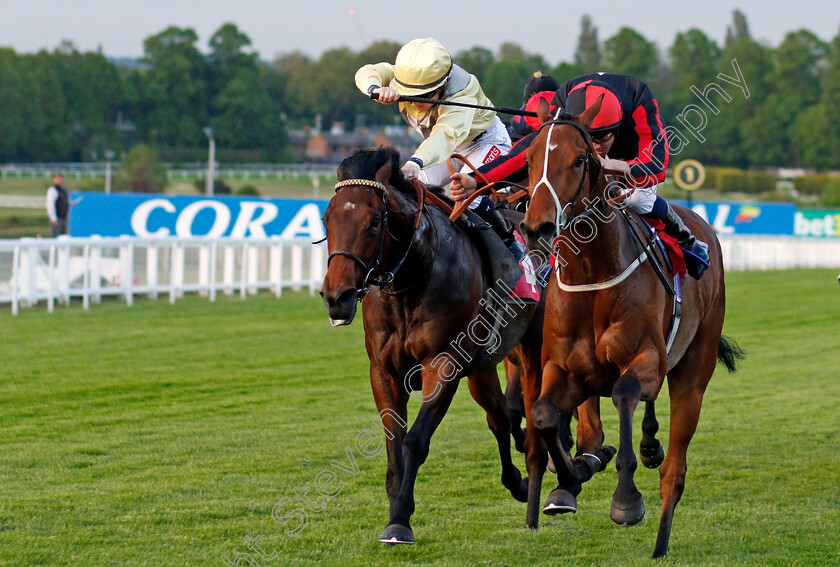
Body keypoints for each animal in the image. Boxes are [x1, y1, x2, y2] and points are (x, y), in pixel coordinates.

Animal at [322, 149, 552, 548]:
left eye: (374, 221)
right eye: (326, 218)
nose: (337, 297)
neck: (416, 273)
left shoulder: (443, 364)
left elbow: (415, 441)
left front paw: (399, 520)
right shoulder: (383, 371)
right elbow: (394, 443)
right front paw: (396, 505)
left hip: (530, 348)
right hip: (481, 368)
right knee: (498, 417)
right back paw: (519, 478)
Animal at [520, 98, 748, 560]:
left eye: (579, 159)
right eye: (531, 159)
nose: (538, 227)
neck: (593, 275)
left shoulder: (646, 360)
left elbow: (625, 392)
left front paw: (625, 501)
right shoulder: (565, 370)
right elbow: (545, 413)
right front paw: (571, 477)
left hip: (692, 374)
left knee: (674, 472)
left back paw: (660, 540)